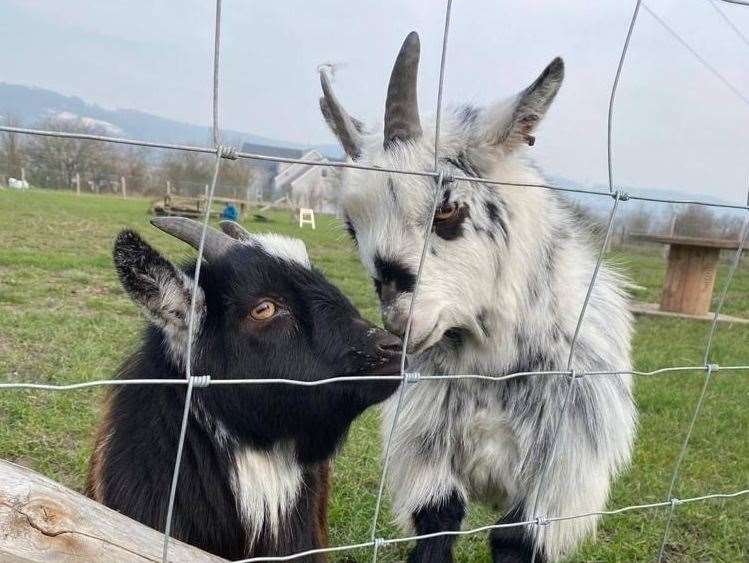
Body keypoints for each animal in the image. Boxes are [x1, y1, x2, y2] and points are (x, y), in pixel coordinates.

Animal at [322, 32, 636, 563]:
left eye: (447, 210)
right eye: (350, 227)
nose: (399, 321)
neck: (492, 368)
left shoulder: (560, 474)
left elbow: (514, 539)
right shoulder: (422, 445)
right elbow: (438, 518)